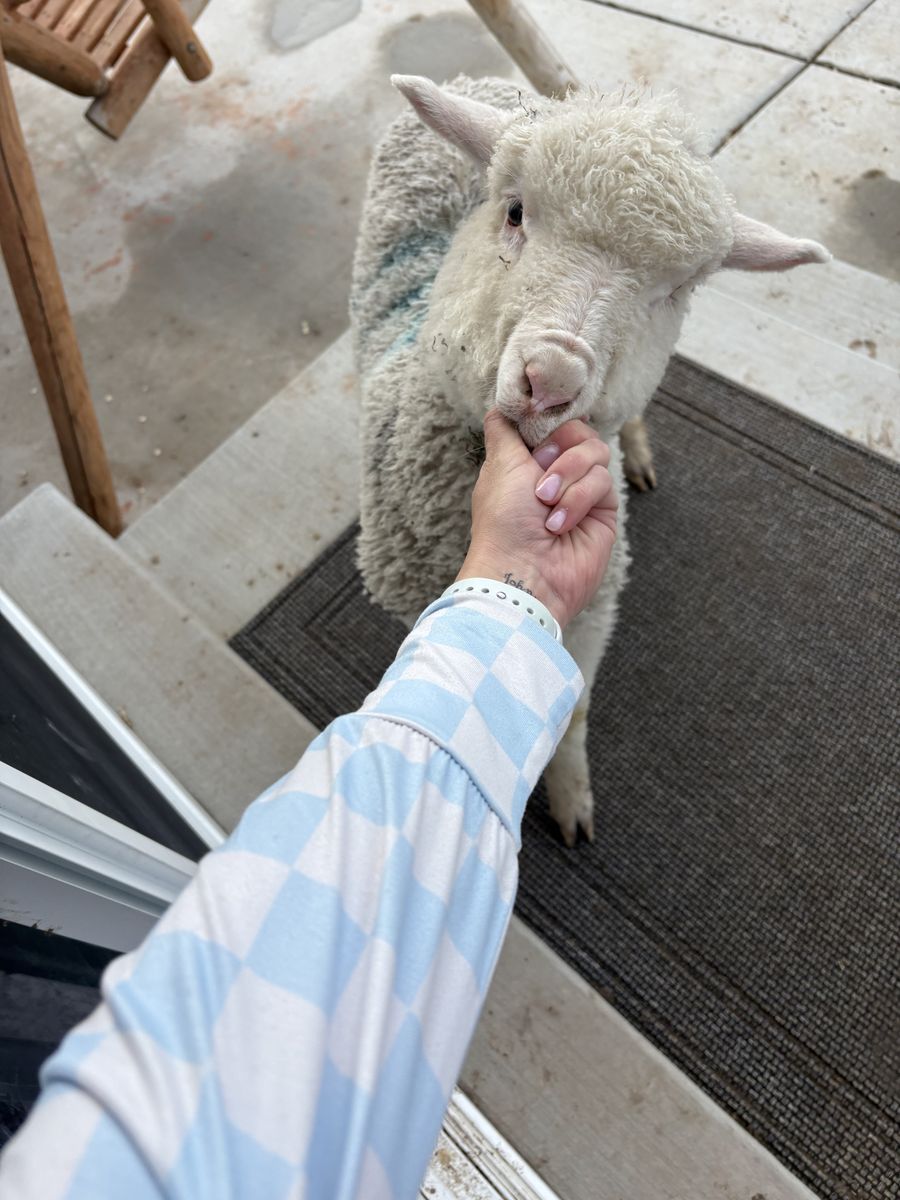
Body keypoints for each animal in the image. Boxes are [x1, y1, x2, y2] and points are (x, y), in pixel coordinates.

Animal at [350, 74, 828, 846]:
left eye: (676, 290)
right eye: (514, 211)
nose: (551, 378)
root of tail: (477, 82)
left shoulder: (597, 601)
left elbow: (571, 710)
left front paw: (572, 798)